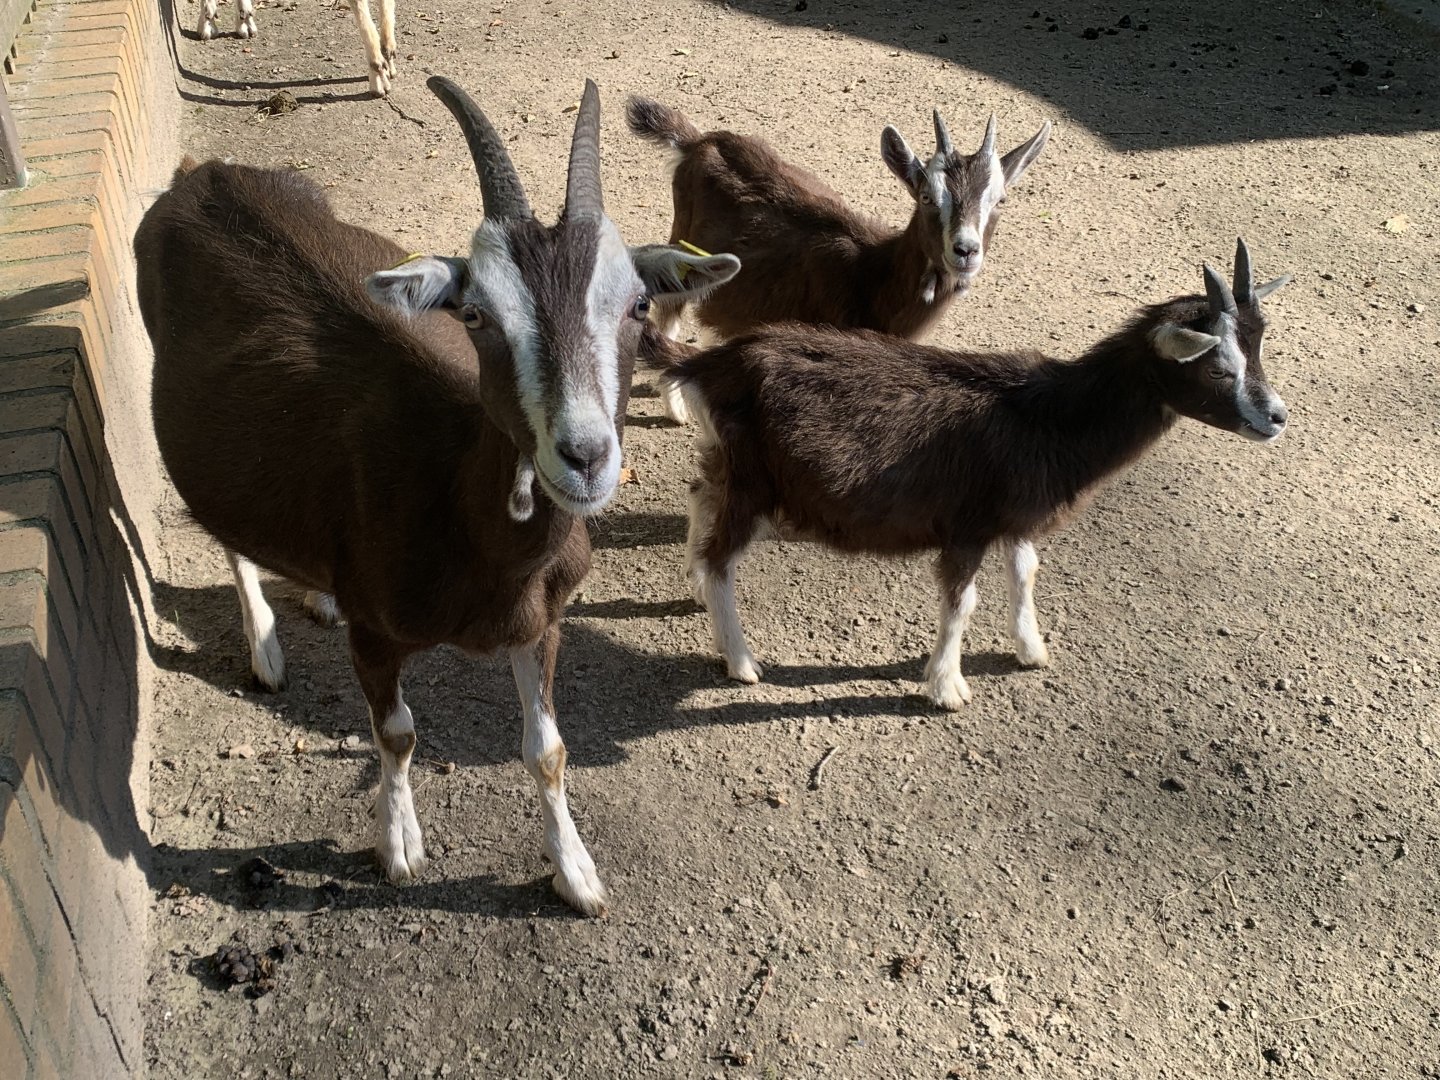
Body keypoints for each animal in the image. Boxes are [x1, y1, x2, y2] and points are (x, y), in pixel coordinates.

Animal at [134, 76, 740, 915]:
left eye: (637, 305)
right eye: (476, 313)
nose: (584, 457)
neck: (456, 504)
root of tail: (203, 174)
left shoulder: (541, 621)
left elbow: (548, 751)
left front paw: (576, 872)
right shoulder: (377, 636)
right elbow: (396, 734)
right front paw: (399, 848)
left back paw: (315, 594)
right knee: (228, 531)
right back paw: (265, 648)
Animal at [626, 96, 1051, 421]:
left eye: (1000, 200)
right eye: (927, 197)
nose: (965, 250)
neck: (870, 275)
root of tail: (698, 141)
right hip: (682, 243)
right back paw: (676, 408)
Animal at [641, 240, 1290, 709]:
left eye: (1258, 352)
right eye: (1216, 368)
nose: (1277, 418)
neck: (1049, 414)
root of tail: (713, 361)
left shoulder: (1015, 515)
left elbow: (1025, 572)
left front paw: (1031, 649)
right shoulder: (967, 523)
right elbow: (961, 602)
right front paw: (947, 687)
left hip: (727, 458)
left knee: (698, 494)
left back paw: (695, 586)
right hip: (757, 481)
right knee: (723, 555)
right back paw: (741, 661)